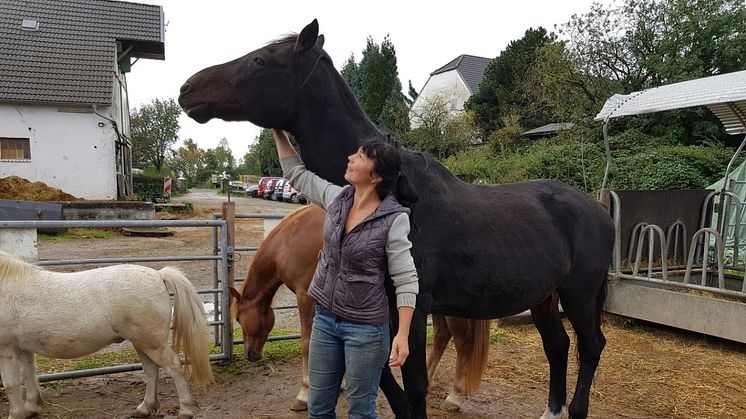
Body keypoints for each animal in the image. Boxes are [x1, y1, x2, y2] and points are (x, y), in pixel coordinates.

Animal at [0, 253, 212, 419]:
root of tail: (158, 275)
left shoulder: (6, 350)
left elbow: (11, 384)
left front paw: (16, 414)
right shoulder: (23, 348)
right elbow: (28, 376)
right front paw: (31, 408)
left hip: (152, 344)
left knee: (174, 366)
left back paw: (185, 410)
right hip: (141, 343)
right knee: (152, 371)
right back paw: (145, 408)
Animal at [230, 205, 492, 412]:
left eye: (240, 319)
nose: (250, 355)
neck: (289, 241)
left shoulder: (306, 297)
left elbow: (307, 344)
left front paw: (304, 394)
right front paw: (342, 383)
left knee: (463, 343)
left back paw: (455, 396)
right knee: (441, 337)